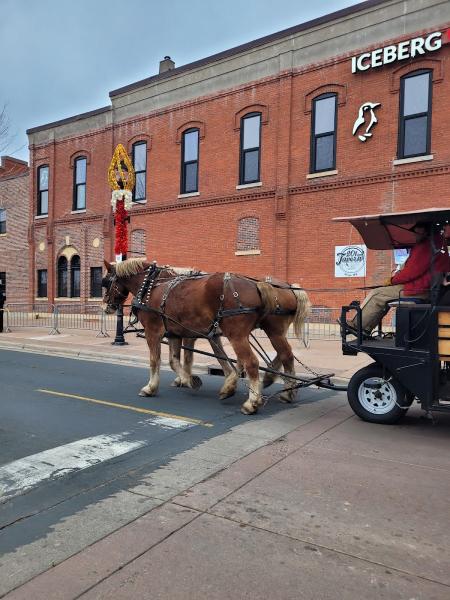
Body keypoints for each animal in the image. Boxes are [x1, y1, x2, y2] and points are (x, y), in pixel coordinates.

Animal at [103, 258, 284, 412]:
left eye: (106, 282)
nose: (106, 307)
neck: (150, 286)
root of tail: (256, 285)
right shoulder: (175, 333)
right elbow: (175, 361)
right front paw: (189, 380)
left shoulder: (152, 331)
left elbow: (155, 361)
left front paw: (150, 387)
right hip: (239, 334)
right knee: (250, 359)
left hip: (236, 334)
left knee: (252, 362)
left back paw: (251, 402)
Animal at [171, 276, 312, 404]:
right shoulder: (213, 335)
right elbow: (221, 356)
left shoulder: (193, 334)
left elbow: (187, 357)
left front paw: (186, 379)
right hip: (272, 331)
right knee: (284, 354)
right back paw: (275, 384)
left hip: (261, 332)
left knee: (275, 357)